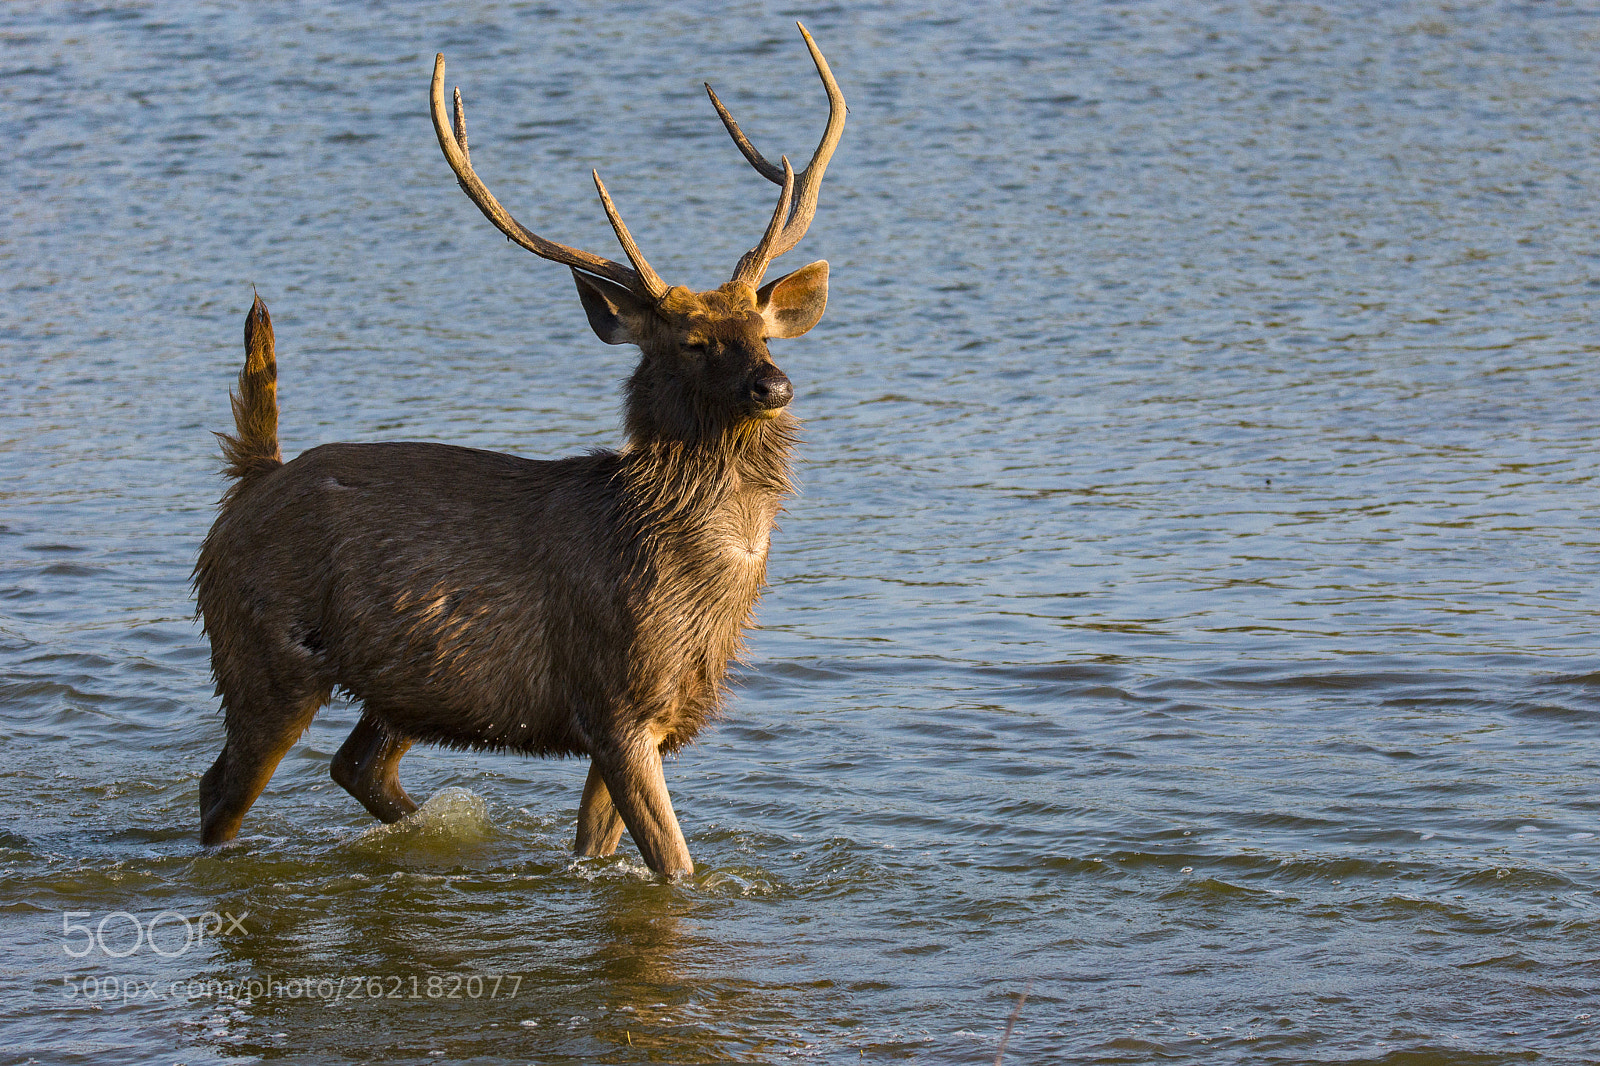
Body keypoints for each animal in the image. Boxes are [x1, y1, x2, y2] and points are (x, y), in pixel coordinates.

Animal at [192, 24, 845, 879]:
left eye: (763, 332)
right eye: (694, 341)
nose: (775, 384)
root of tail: (252, 478)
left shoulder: (652, 721)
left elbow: (598, 853)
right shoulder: (613, 701)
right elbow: (676, 866)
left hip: (403, 686)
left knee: (356, 765)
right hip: (263, 655)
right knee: (219, 790)